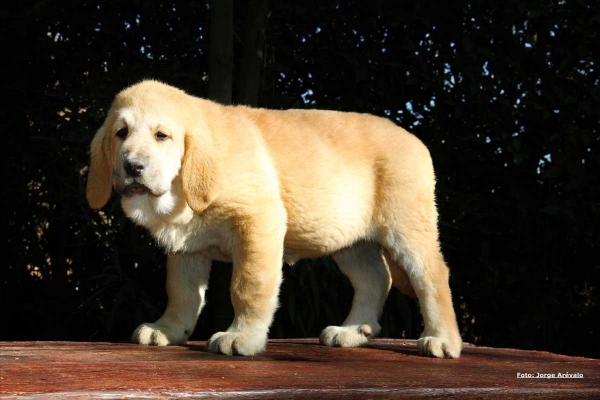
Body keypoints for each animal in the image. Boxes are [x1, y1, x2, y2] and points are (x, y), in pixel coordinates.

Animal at [86, 79, 464, 358]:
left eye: (161, 135)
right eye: (121, 133)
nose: (133, 166)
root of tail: (415, 140)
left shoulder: (258, 225)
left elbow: (248, 287)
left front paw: (242, 338)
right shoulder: (186, 248)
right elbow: (181, 292)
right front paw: (168, 329)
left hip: (407, 230)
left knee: (432, 276)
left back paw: (443, 340)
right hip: (351, 241)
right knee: (374, 280)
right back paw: (353, 331)